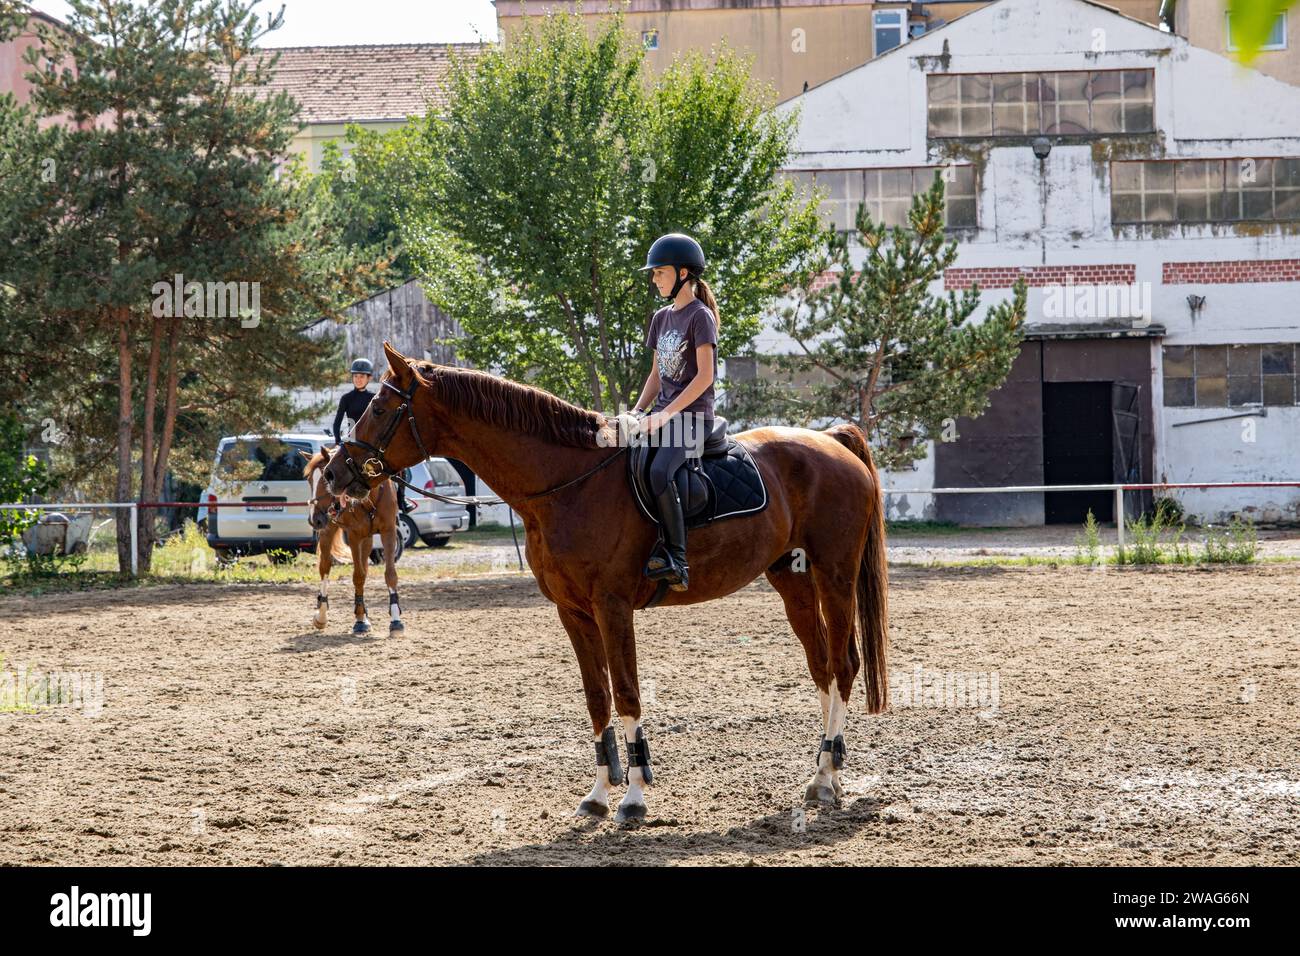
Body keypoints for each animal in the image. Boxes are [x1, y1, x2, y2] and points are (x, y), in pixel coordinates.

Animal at [301, 447, 403, 634]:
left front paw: (395, 620)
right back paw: (322, 615)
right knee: (325, 567)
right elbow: (358, 576)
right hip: (328, 530)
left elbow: (390, 574)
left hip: (367, 538)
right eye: (310, 480)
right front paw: (360, 619)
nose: (313, 519)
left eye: (326, 479)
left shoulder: (389, 532)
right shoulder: (354, 535)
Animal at [330, 343, 889, 822]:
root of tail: (832, 440)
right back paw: (826, 774)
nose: (337, 473)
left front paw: (635, 797)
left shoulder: (612, 605)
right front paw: (599, 794)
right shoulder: (573, 611)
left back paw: (825, 776)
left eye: (380, 408)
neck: (568, 483)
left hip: (834, 574)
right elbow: (597, 697)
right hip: (793, 582)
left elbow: (626, 693)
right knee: (822, 667)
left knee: (843, 664)